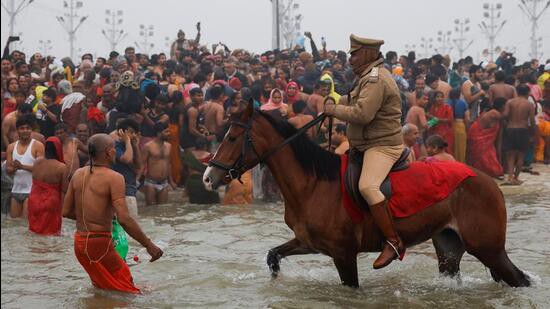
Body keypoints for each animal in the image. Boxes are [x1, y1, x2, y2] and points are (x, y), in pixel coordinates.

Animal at [205, 102, 532, 288]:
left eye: (232, 137)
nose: (209, 177)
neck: (312, 185)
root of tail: (488, 182)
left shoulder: (343, 254)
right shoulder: (308, 243)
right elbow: (273, 257)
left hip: (488, 248)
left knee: (519, 279)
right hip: (450, 247)